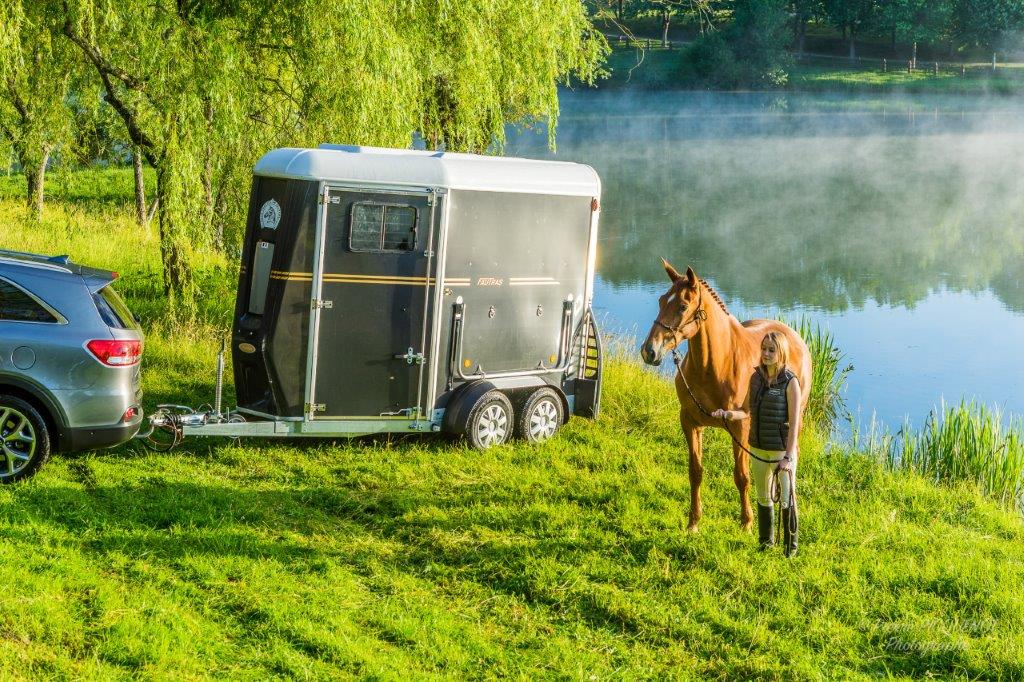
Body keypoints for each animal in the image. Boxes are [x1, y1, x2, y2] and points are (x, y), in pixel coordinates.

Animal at [640, 260, 812, 533]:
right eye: (661, 300)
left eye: (682, 306)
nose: (649, 351)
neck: (716, 366)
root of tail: (793, 337)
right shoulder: (690, 422)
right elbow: (695, 471)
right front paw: (693, 522)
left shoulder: (740, 426)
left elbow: (741, 476)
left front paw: (747, 523)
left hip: (794, 419)